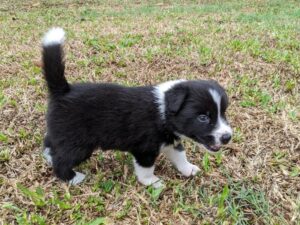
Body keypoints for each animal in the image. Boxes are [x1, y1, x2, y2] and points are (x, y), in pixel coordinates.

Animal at [41, 27, 232, 187]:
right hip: (78, 144)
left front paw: (188, 169)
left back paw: (49, 157)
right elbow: (146, 169)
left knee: (50, 143)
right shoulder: (144, 149)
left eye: (223, 113)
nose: (227, 137)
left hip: (62, 134)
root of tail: (63, 90)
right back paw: (73, 178)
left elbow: (179, 156)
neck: (163, 110)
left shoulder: (171, 140)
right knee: (62, 160)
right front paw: (153, 183)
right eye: (203, 117)